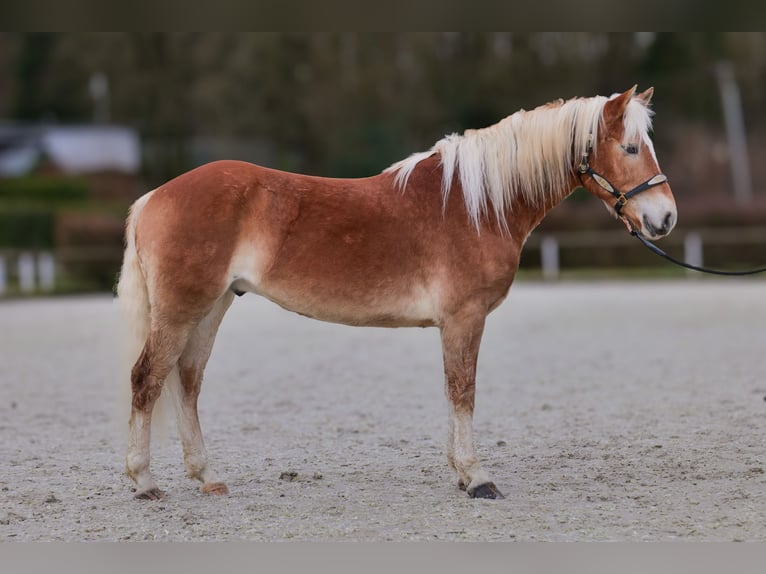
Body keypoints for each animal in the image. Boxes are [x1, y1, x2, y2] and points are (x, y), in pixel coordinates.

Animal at [115, 86, 680, 504]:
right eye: (630, 148)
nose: (665, 218)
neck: (476, 204)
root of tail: (154, 196)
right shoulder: (465, 319)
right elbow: (463, 391)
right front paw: (478, 479)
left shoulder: (454, 325)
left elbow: (453, 392)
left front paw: (460, 473)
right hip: (182, 310)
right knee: (147, 378)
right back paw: (145, 482)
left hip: (211, 307)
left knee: (187, 381)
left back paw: (206, 477)